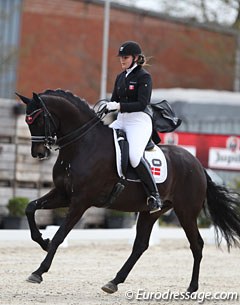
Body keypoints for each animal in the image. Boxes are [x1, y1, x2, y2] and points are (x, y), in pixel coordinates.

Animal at [16, 89, 240, 294]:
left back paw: (192, 288)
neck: (82, 145)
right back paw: (113, 282)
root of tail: (198, 165)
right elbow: (30, 208)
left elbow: (60, 235)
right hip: (151, 212)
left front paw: (38, 271)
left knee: (197, 245)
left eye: (37, 120)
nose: (38, 153)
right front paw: (42, 241)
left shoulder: (81, 201)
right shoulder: (63, 194)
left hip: (186, 212)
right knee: (140, 245)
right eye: (28, 121)